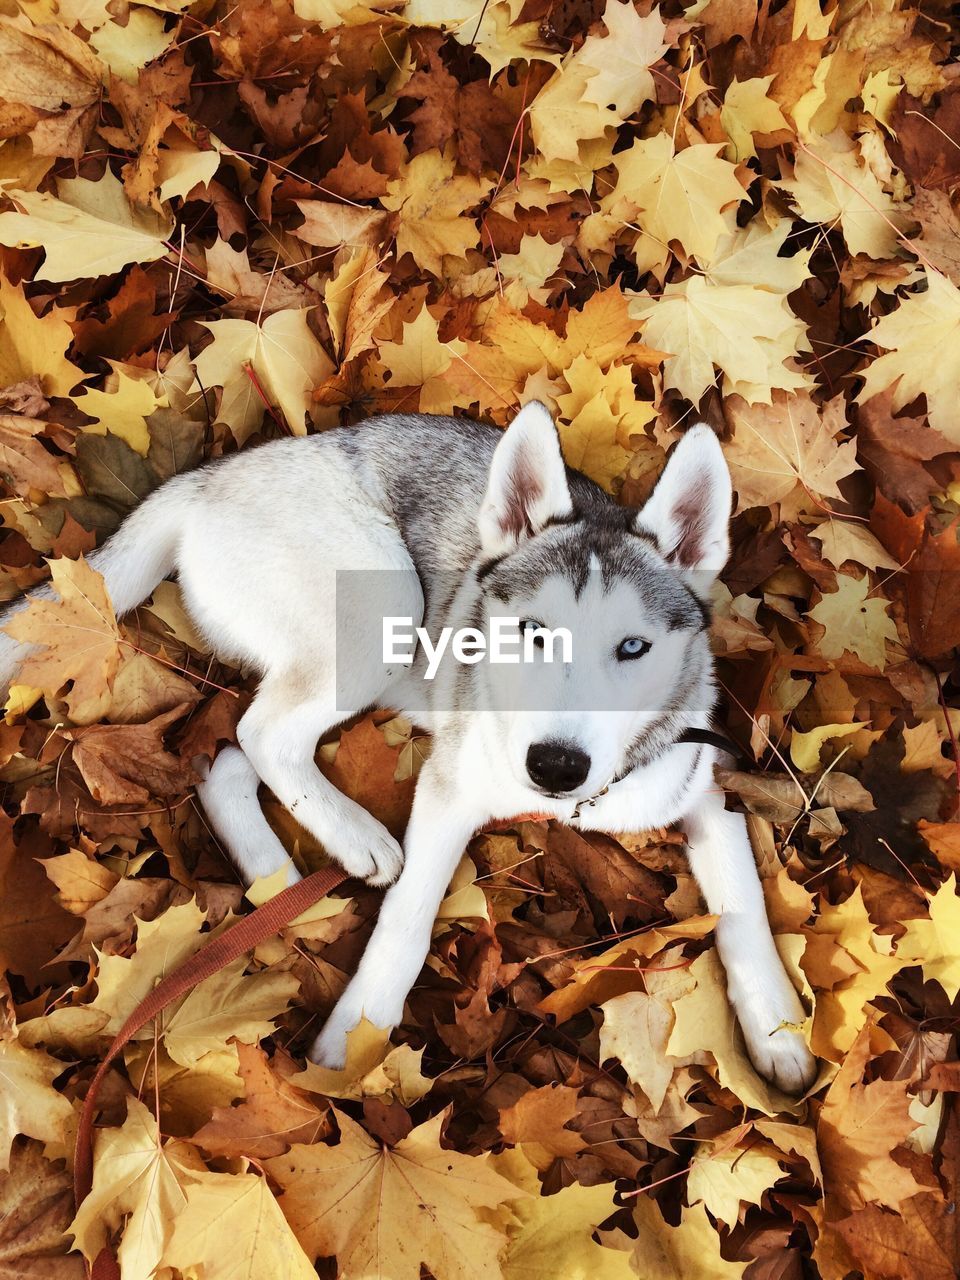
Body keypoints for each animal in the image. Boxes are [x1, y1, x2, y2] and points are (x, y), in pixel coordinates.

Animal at [0, 407, 819, 1090]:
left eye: (633, 647)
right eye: (532, 631)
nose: (555, 766)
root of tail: (207, 477)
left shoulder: (706, 783)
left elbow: (743, 906)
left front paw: (777, 1028)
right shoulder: (450, 791)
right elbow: (409, 917)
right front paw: (356, 1035)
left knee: (228, 761)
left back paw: (274, 876)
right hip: (383, 598)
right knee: (260, 734)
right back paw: (352, 837)